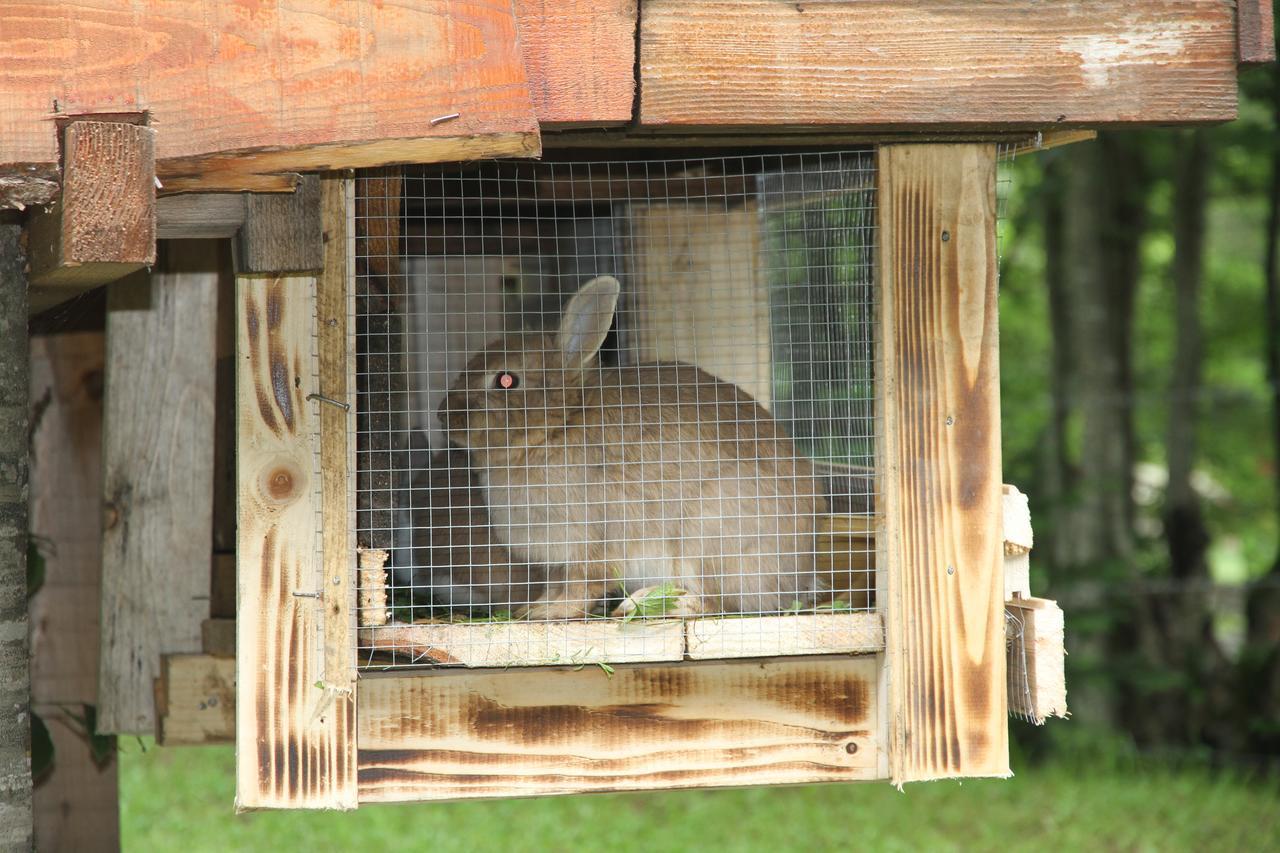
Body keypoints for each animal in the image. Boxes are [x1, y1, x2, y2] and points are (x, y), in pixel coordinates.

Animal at [440, 275, 824, 614]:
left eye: (506, 380)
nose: (444, 414)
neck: (558, 425)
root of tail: (797, 574)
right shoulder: (558, 561)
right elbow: (557, 585)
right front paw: (532, 608)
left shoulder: (591, 543)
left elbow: (582, 586)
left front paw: (544, 614)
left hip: (706, 538)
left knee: (717, 602)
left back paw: (654, 604)